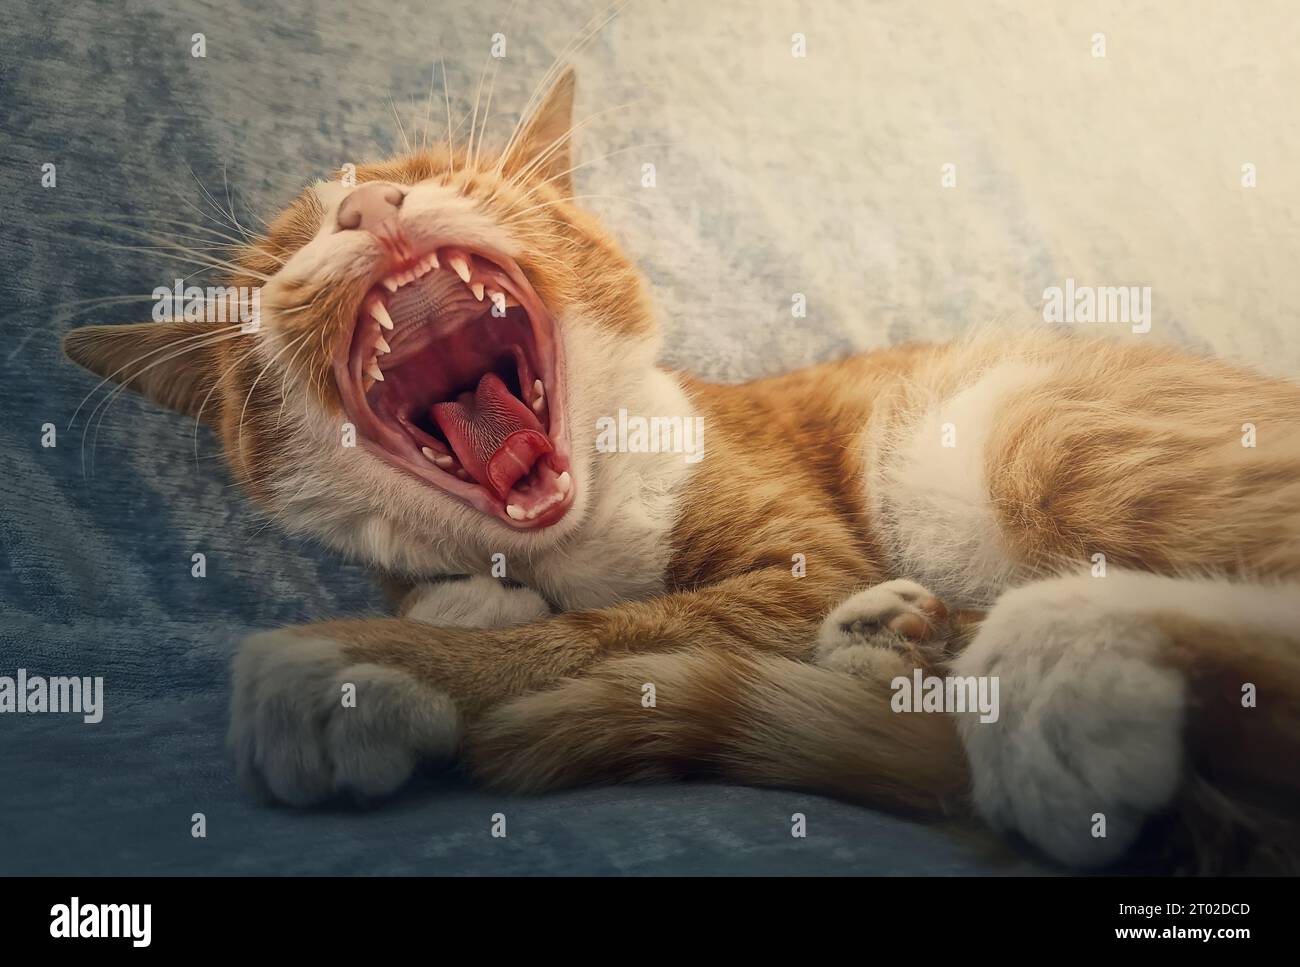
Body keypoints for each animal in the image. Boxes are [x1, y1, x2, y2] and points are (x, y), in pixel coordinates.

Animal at [63, 65, 1300, 868]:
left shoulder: (795, 564)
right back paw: (902, 643)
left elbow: (616, 629)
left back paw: (1073, 655)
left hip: (1013, 432)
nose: (371, 203)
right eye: (284, 253)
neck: (567, 537)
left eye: (443, 172)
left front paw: (366, 660)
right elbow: (479, 597)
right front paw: (454, 609)